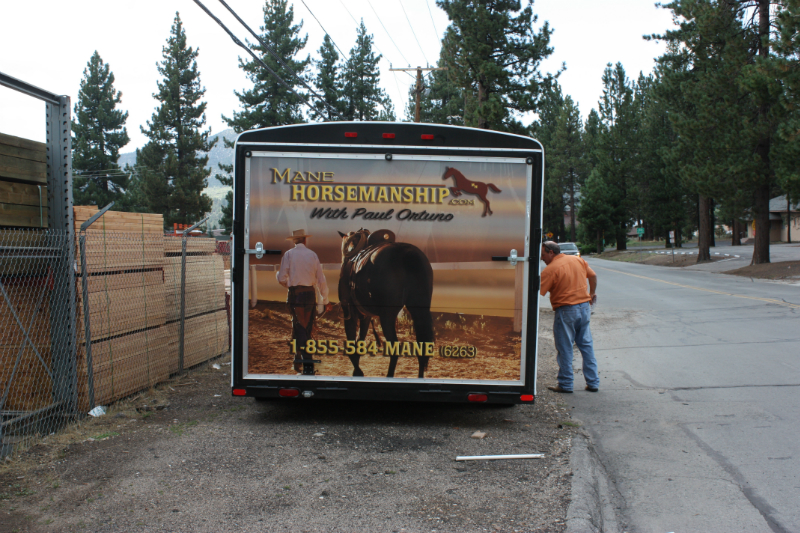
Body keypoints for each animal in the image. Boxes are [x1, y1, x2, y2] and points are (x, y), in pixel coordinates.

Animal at [340, 229, 438, 378]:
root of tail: (408, 254)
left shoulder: (349, 312)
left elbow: (352, 343)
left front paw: (358, 371)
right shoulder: (365, 316)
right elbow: (359, 339)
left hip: (387, 316)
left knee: (394, 348)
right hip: (419, 311)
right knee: (422, 346)